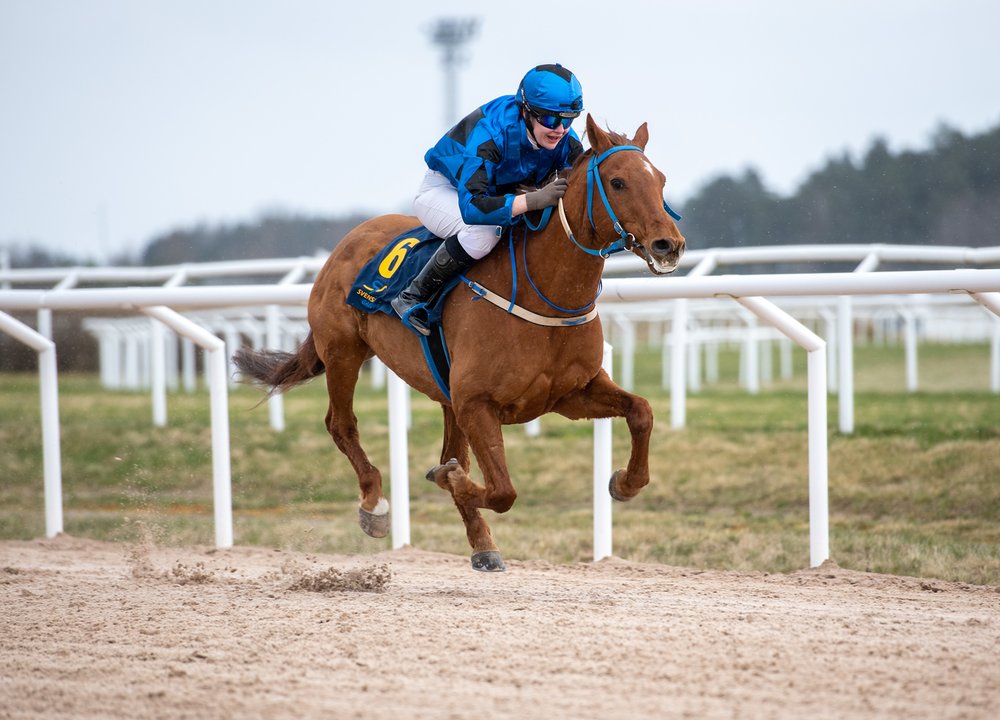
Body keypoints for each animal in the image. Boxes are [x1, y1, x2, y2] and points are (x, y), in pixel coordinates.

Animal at [235, 115, 688, 572]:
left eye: (661, 180)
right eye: (617, 182)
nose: (669, 244)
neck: (542, 293)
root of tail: (350, 239)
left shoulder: (569, 394)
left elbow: (641, 411)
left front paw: (625, 482)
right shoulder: (477, 402)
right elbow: (502, 490)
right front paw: (446, 479)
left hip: (444, 390)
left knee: (447, 448)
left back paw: (482, 543)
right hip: (343, 351)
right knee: (341, 424)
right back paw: (375, 504)